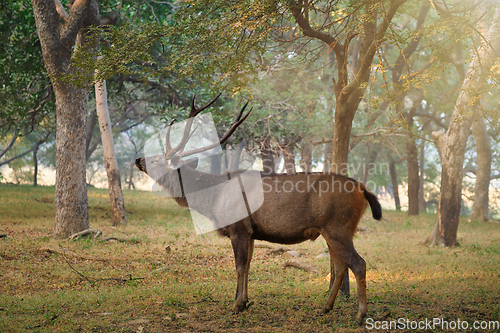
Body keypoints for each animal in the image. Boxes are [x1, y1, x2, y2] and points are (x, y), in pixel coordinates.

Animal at [135, 94, 380, 322]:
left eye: (156, 160)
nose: (137, 159)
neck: (214, 198)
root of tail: (362, 189)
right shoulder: (251, 231)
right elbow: (248, 264)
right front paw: (245, 301)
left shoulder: (238, 227)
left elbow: (239, 266)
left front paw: (235, 305)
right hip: (330, 231)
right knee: (340, 267)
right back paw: (325, 307)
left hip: (338, 227)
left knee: (358, 263)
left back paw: (360, 314)